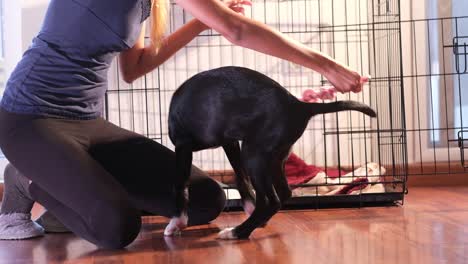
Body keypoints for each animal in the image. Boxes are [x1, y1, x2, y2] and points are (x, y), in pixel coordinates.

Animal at [165, 66, 376, 239]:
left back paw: (237, 232)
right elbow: (241, 179)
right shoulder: (230, 142)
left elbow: (180, 186)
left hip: (253, 155)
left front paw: (177, 223)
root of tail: (298, 105)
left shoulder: (183, 146)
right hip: (271, 158)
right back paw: (251, 223)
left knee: (270, 201)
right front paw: (248, 205)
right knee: (282, 193)